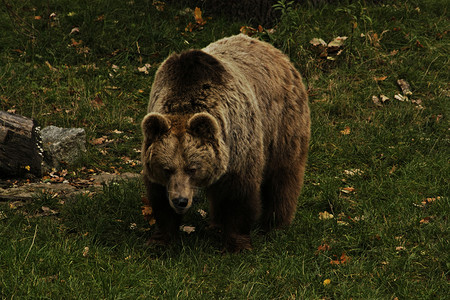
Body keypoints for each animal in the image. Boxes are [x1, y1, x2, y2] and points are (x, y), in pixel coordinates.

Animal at [141, 34, 310, 252]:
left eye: (192, 168)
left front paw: (237, 244)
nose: (181, 201)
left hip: (283, 123)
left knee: (283, 175)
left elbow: (238, 195)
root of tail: (273, 49)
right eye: (166, 168)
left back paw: (275, 224)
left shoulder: (239, 145)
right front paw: (160, 240)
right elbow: (160, 198)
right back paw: (216, 223)